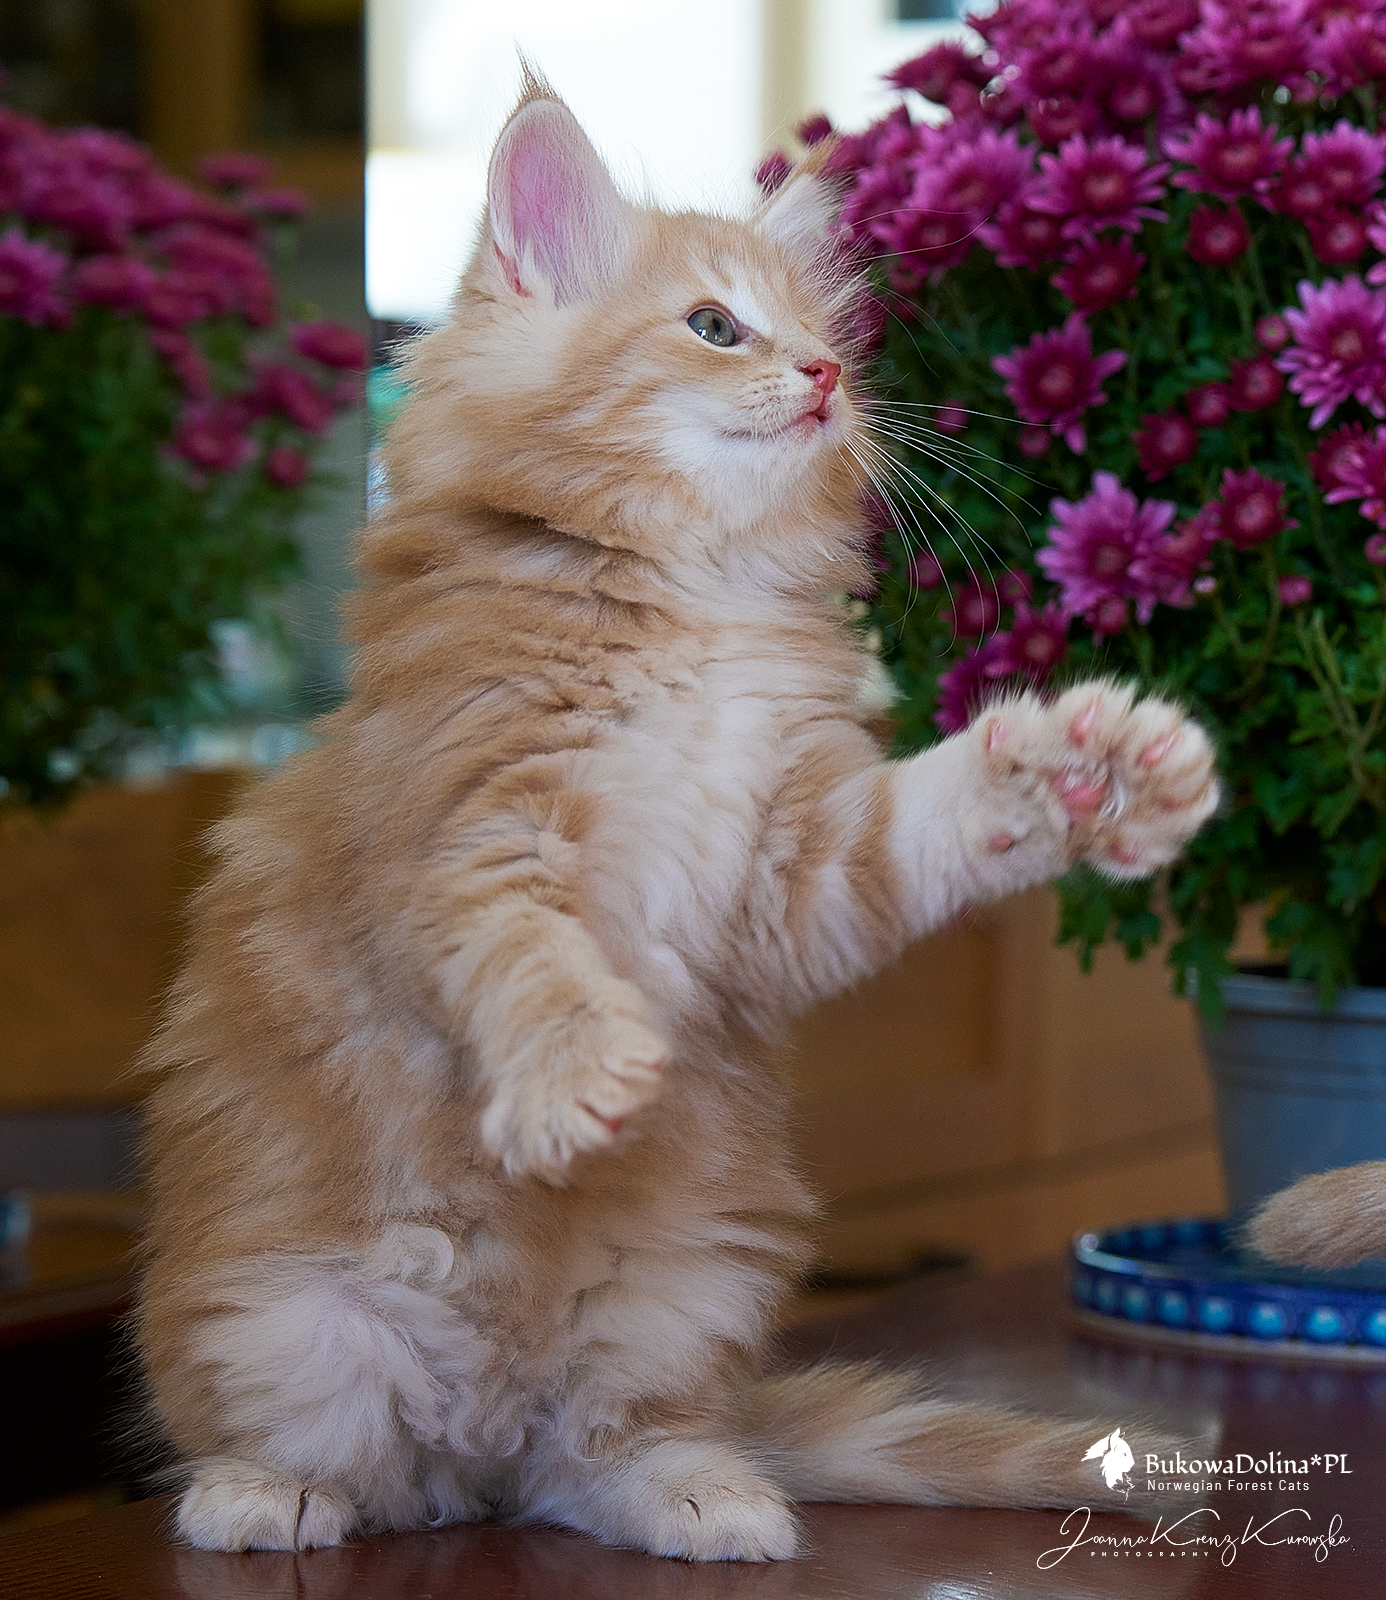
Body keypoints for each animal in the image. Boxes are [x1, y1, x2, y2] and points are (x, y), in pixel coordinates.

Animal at [136, 75, 1220, 1559]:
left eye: (825, 341)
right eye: (715, 326)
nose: (824, 380)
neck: (688, 596)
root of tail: (471, 1447)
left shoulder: (791, 872)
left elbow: (931, 816)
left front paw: (1084, 767)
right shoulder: (459, 836)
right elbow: (527, 955)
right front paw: (578, 1075)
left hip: (685, 1289)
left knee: (595, 1455)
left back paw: (703, 1493)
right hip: (274, 1316)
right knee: (313, 1451)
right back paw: (266, 1493)